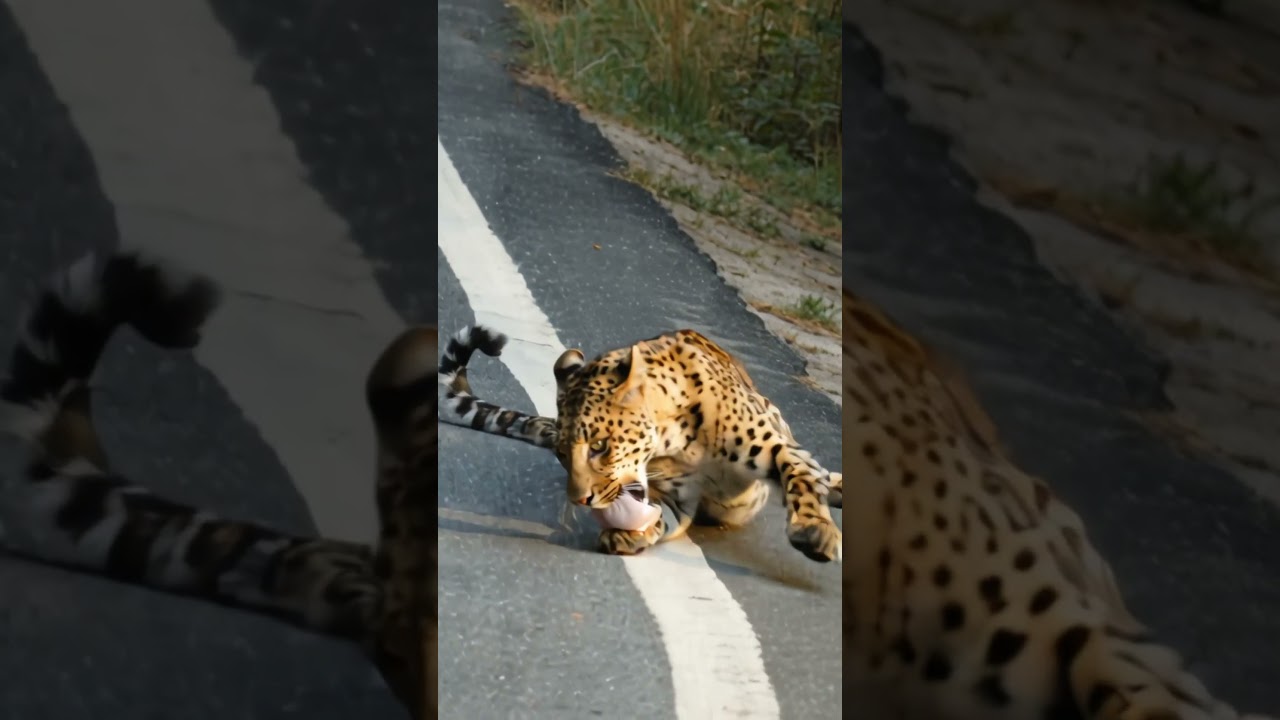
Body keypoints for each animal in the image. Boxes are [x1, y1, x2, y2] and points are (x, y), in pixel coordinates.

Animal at [438, 324, 843, 563]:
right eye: (562, 455)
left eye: (600, 445)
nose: (580, 500)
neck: (678, 439)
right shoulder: (677, 498)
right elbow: (661, 513)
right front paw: (628, 534)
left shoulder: (783, 447)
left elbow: (802, 479)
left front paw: (816, 532)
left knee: (825, 476)